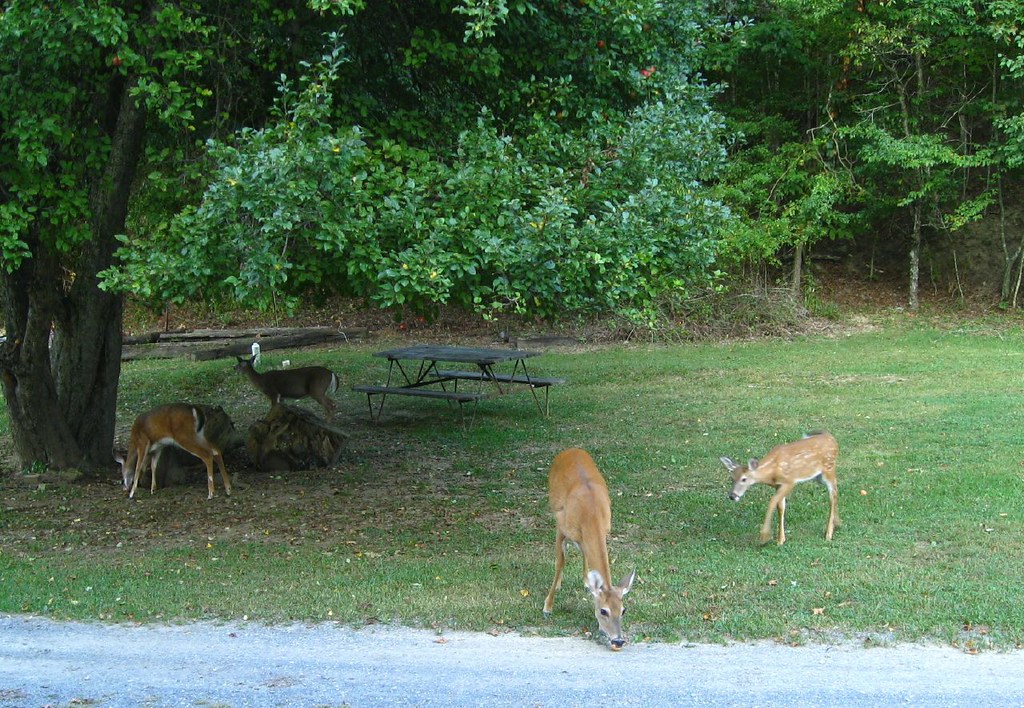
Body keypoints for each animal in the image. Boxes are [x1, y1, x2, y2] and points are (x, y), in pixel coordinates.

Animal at [543, 447, 636, 651]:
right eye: (603, 611)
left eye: (623, 610)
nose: (618, 640)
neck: (590, 513)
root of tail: (571, 449)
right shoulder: (561, 527)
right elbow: (560, 562)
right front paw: (548, 607)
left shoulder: (604, 530)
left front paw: (589, 582)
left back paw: (587, 580)